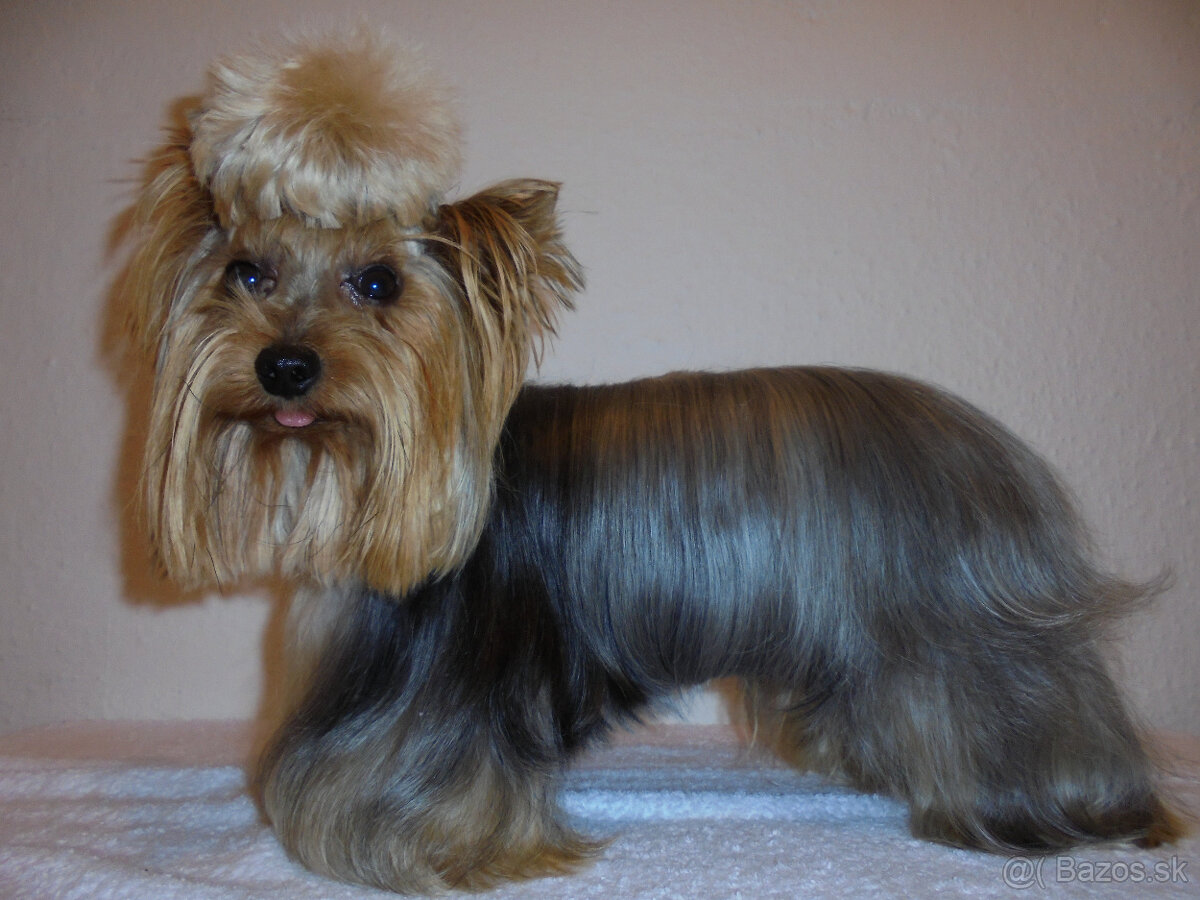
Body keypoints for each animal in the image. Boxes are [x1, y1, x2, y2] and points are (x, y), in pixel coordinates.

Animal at [123, 32, 1179, 893]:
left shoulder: (440, 692)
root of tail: (998, 452)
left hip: (964, 640)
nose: (285, 364)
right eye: (246, 273)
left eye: (377, 283)